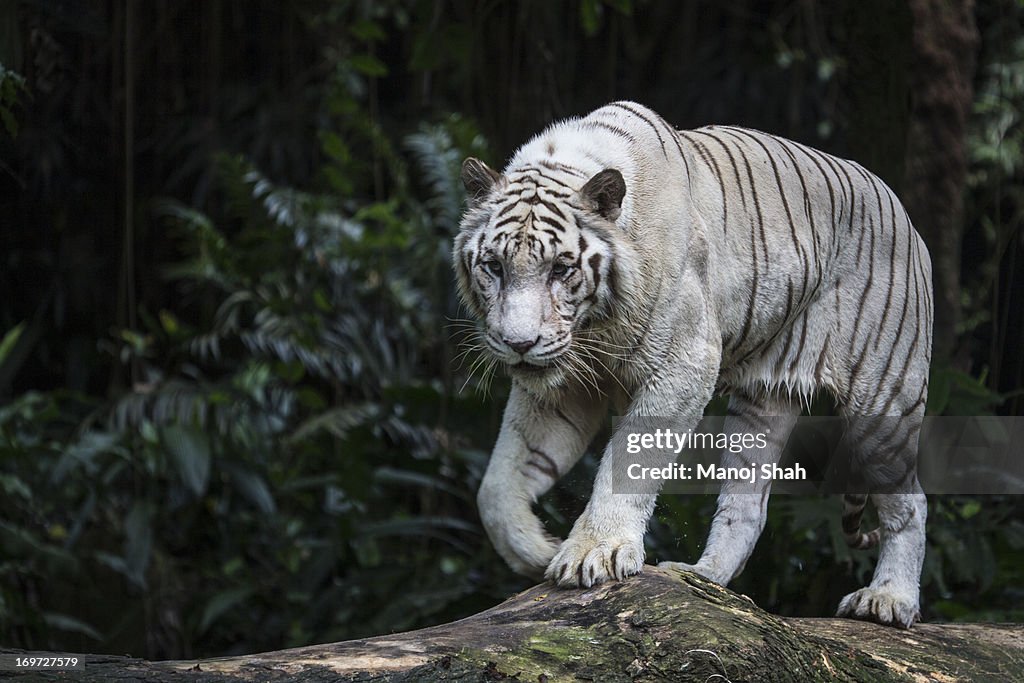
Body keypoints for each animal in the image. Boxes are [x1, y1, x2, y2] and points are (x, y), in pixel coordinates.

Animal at [452, 101, 933, 630]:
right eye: (494, 267)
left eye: (561, 268)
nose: (518, 343)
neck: (593, 330)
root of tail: (903, 213)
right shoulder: (563, 388)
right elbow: (497, 485)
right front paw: (536, 550)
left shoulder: (683, 364)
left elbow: (630, 461)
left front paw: (593, 551)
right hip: (761, 405)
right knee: (747, 506)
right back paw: (702, 580)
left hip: (883, 400)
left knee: (911, 502)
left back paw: (888, 600)